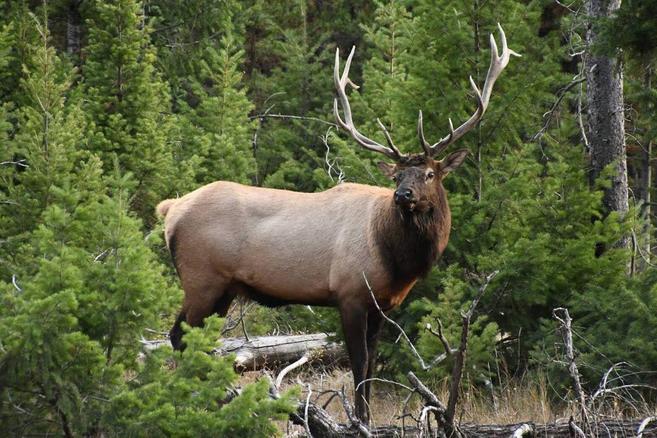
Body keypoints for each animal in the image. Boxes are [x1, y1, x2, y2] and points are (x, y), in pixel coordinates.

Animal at [158, 24, 512, 424]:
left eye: (430, 173)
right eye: (397, 175)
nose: (402, 195)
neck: (394, 258)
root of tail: (171, 209)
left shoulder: (382, 305)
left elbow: (372, 364)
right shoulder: (350, 292)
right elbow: (358, 364)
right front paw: (359, 420)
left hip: (224, 289)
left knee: (196, 341)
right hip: (201, 279)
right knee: (178, 336)